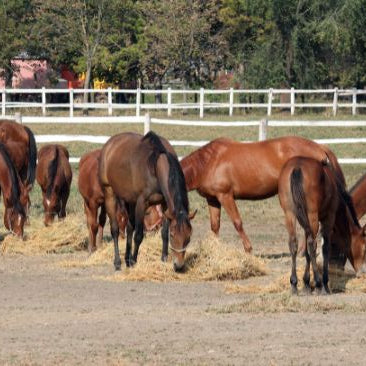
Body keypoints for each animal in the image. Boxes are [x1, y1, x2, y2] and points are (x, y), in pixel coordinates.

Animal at [97, 132, 194, 272]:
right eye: (173, 235)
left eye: (188, 237)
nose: (179, 266)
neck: (155, 165)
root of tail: (109, 145)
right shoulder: (142, 204)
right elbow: (139, 235)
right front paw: (134, 261)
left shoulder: (165, 205)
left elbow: (163, 233)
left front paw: (163, 259)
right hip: (109, 193)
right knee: (115, 229)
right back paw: (118, 262)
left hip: (130, 201)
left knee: (129, 227)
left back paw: (126, 259)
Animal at [180, 136, 344, 253]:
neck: (208, 162)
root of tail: (319, 147)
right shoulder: (213, 199)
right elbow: (215, 226)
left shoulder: (225, 196)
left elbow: (237, 223)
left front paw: (248, 249)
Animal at [278, 157, 364, 294]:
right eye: (364, 247)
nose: (362, 272)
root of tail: (297, 167)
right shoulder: (328, 217)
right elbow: (324, 248)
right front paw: (324, 283)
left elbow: (306, 251)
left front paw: (306, 283)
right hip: (312, 215)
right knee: (312, 244)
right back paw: (319, 284)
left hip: (290, 214)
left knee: (294, 244)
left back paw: (294, 284)